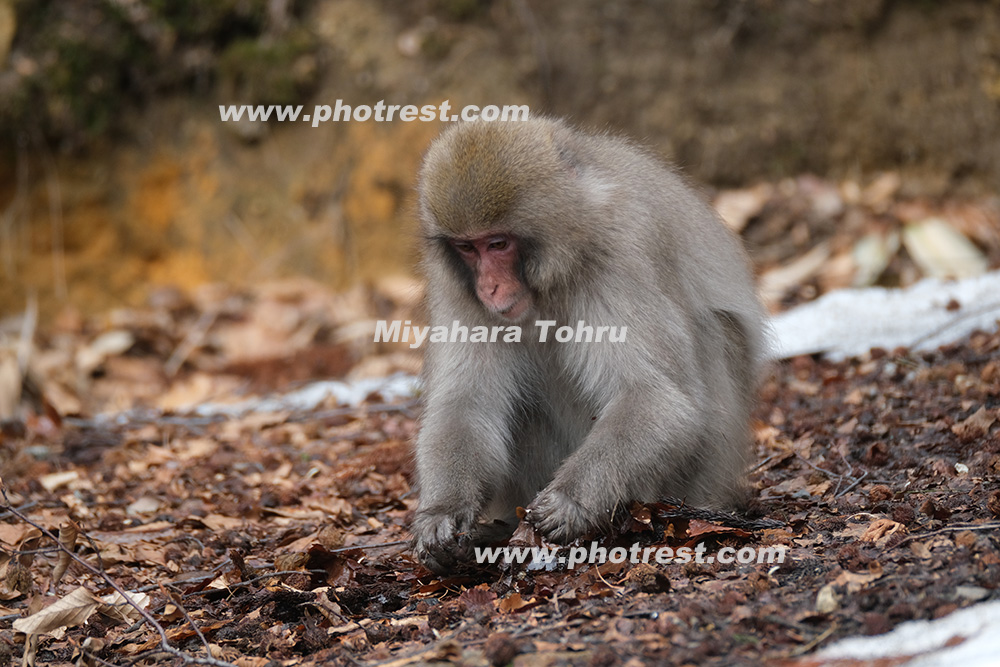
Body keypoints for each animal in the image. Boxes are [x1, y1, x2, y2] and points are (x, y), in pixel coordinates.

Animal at [410, 116, 760, 576]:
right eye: (467, 247)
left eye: (498, 244)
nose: (489, 287)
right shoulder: (456, 289)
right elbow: (465, 404)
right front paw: (443, 511)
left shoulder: (620, 254)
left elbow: (659, 400)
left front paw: (572, 501)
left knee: (719, 331)